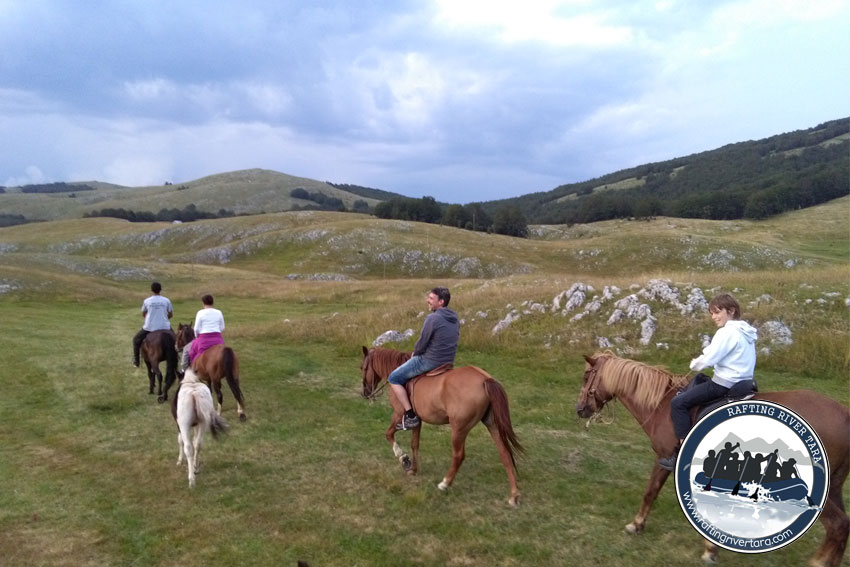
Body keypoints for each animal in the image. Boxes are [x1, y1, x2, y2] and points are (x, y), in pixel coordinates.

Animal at [354, 348, 520, 508]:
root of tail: (485, 379)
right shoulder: (417, 421)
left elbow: (388, 434)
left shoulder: (398, 414)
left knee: (459, 456)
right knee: (505, 454)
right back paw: (514, 496)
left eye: (362, 367)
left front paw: (404, 459)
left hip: (459, 429)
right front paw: (414, 469)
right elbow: (415, 444)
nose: (365, 393)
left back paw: (445, 484)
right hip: (492, 425)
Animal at [576, 350, 848, 567]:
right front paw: (711, 549)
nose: (580, 409)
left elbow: (650, 492)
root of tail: (844, 415)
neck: (663, 404)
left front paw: (636, 524)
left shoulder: (664, 458)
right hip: (834, 486)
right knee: (843, 526)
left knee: (837, 525)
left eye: (587, 375)